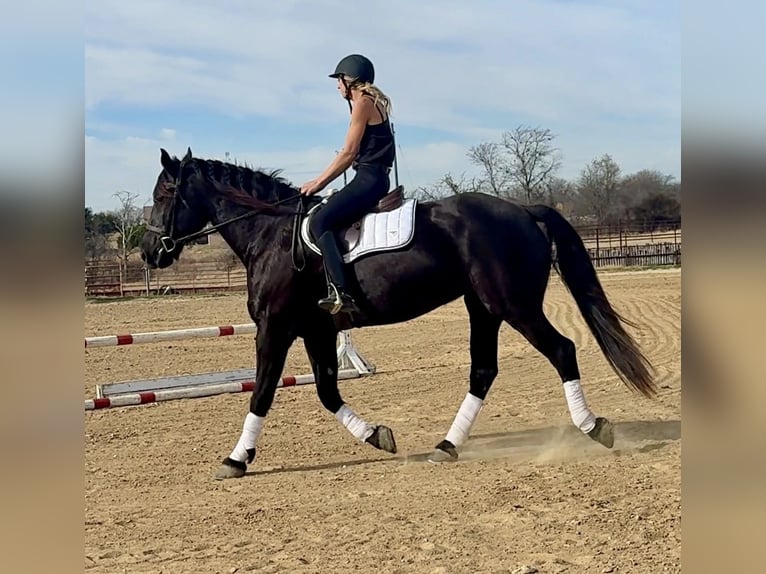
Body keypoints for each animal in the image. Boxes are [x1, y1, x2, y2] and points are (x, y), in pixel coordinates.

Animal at [141, 147, 656, 480]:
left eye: (164, 195)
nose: (149, 252)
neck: (272, 233)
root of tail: (523, 210)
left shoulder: (276, 327)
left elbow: (263, 392)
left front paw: (236, 459)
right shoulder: (316, 330)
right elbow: (327, 392)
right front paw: (378, 436)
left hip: (514, 305)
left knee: (562, 350)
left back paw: (594, 427)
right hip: (483, 307)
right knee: (483, 370)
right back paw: (447, 447)